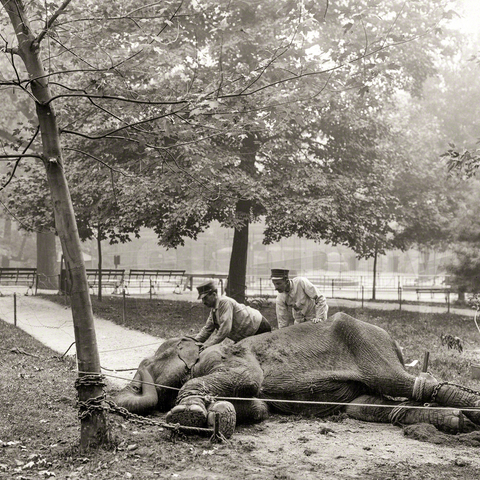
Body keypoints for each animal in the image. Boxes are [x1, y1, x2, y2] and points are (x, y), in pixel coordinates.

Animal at [115, 312, 480, 438]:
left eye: (149, 361)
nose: (130, 384)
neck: (203, 346)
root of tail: (394, 342)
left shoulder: (232, 356)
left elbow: (250, 379)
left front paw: (187, 414)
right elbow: (258, 407)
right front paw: (221, 412)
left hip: (368, 345)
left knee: (408, 382)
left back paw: (470, 411)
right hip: (363, 386)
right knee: (371, 407)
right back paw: (455, 421)